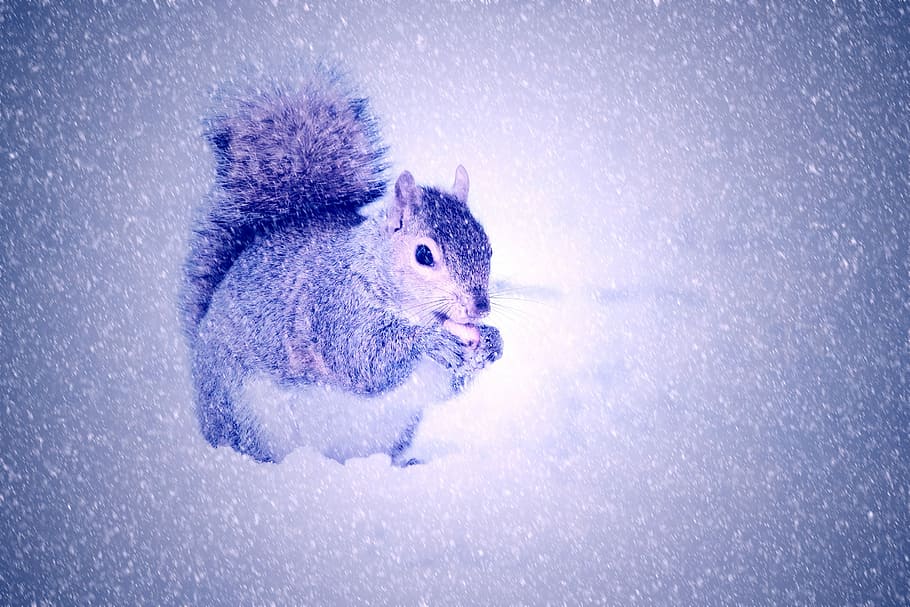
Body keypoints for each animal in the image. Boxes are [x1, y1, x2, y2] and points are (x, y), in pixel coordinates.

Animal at [180, 69, 502, 465]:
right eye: (424, 255)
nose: (480, 307)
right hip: (246, 416)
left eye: (488, 246)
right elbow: (362, 357)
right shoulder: (333, 308)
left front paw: (493, 342)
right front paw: (430, 342)